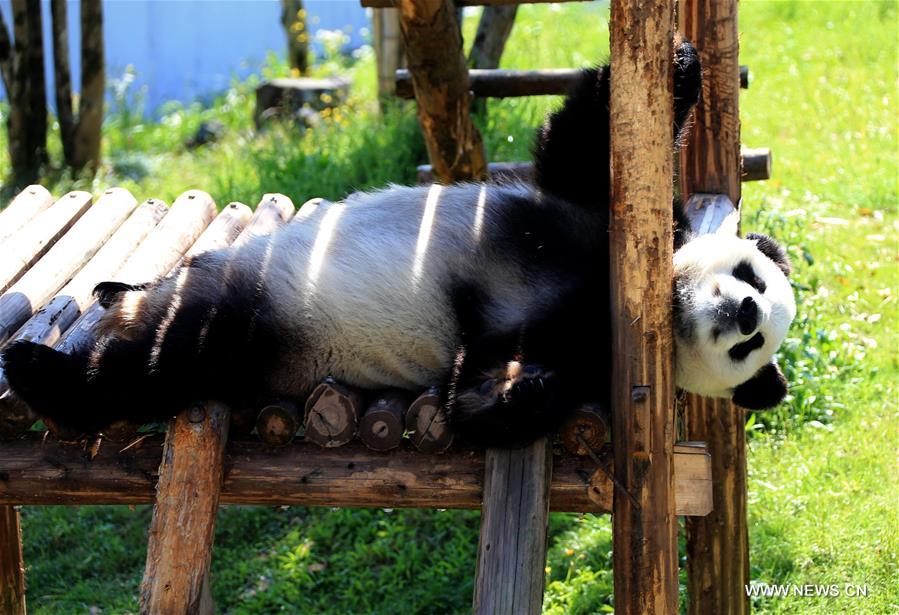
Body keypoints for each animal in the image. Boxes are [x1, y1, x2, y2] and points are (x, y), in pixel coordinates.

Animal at [0, 42, 800, 448]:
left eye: (749, 344)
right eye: (752, 278)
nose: (737, 312)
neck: (646, 304)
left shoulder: (588, 347)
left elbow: (476, 391)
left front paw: (519, 389)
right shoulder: (593, 218)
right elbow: (585, 148)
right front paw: (680, 64)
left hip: (249, 333)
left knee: (165, 361)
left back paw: (44, 368)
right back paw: (103, 300)